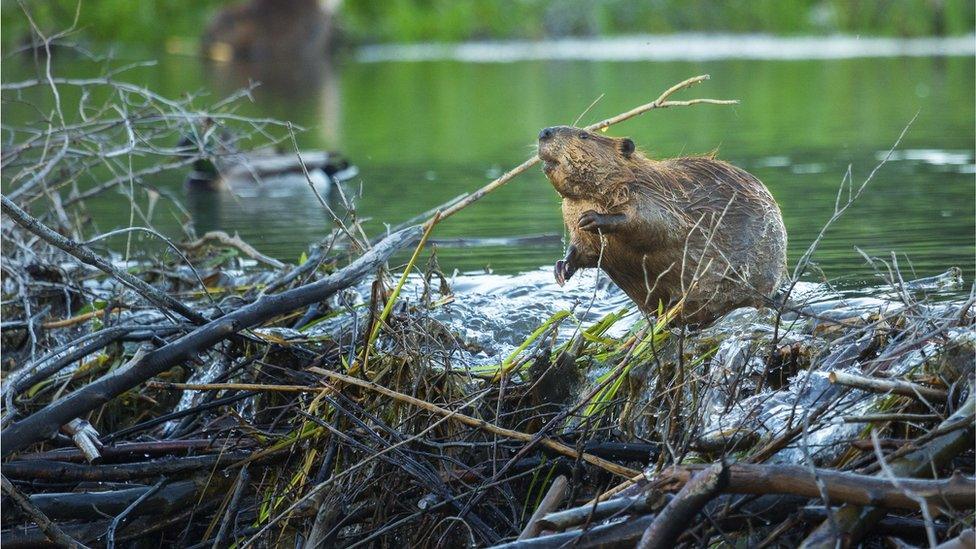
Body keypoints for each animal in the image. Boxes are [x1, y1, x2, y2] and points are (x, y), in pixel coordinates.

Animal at [536, 126, 788, 324]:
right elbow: (584, 250)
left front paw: (593, 218)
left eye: (584, 135)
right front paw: (561, 269)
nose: (544, 132)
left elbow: (657, 225)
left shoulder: (654, 195)